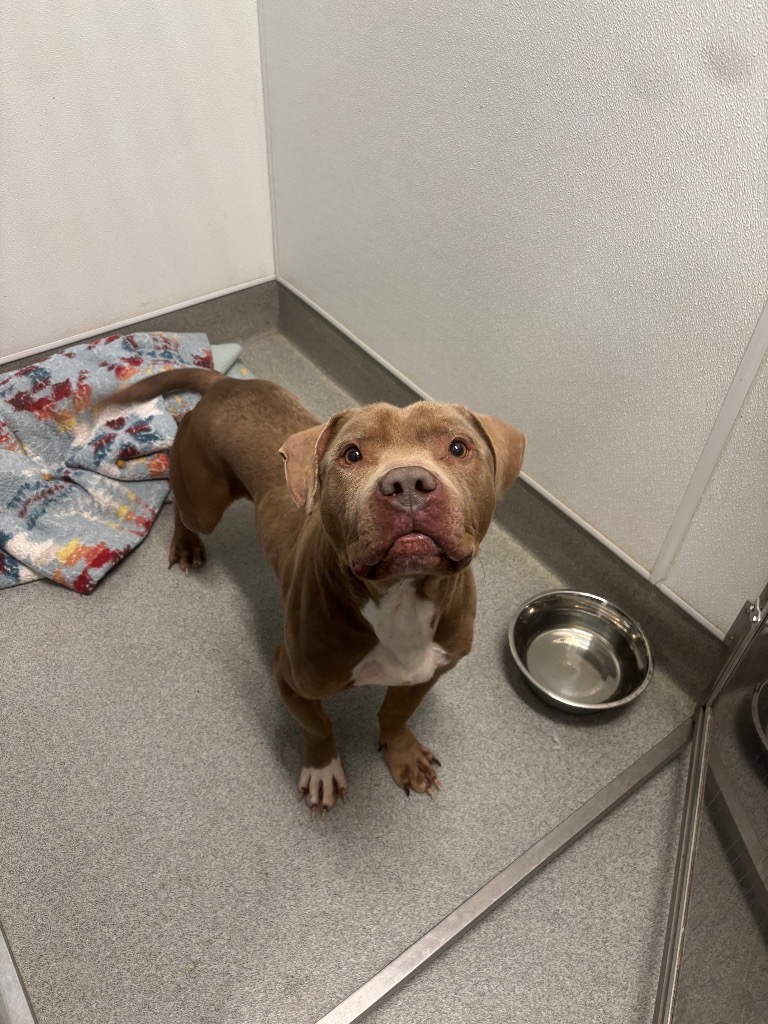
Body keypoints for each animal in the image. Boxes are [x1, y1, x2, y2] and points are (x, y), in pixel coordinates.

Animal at [103, 369, 525, 813]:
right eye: (352, 454)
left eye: (458, 447)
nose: (407, 482)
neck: (401, 598)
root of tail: (226, 383)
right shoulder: (290, 675)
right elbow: (319, 726)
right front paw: (323, 769)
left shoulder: (428, 671)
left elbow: (396, 714)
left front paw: (404, 754)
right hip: (205, 498)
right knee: (181, 500)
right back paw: (185, 543)